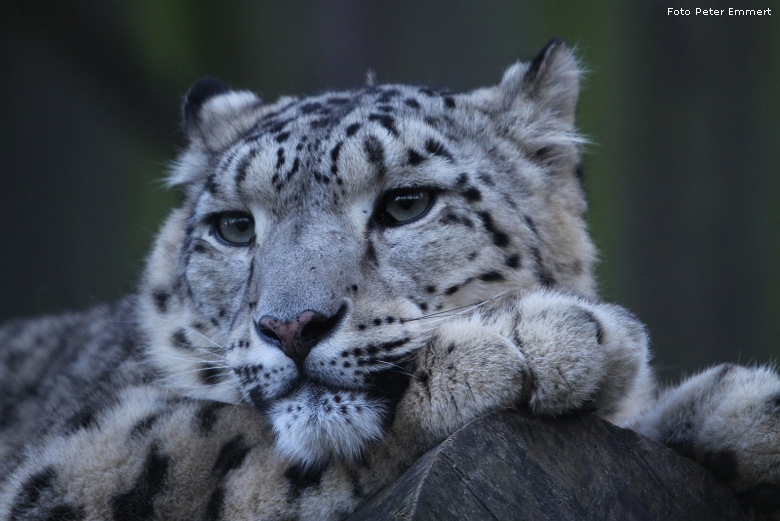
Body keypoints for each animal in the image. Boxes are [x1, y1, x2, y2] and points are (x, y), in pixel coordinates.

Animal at [0, 38, 776, 516]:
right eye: (235, 226)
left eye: (406, 204)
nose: (291, 326)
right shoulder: (75, 463)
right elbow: (213, 439)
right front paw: (529, 343)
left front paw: (745, 407)